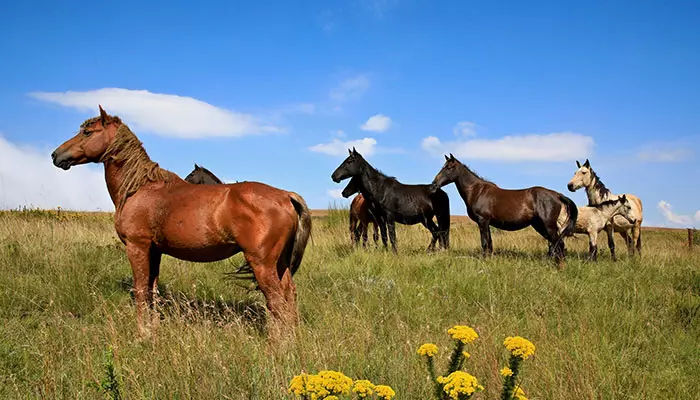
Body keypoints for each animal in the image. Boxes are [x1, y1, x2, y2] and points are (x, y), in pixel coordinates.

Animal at [50, 105, 312, 332]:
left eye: (87, 132)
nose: (55, 155)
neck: (139, 188)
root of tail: (285, 195)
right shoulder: (154, 251)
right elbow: (152, 291)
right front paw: (153, 329)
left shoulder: (137, 247)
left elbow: (141, 291)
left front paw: (142, 333)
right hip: (280, 264)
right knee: (289, 295)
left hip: (263, 264)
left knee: (276, 301)